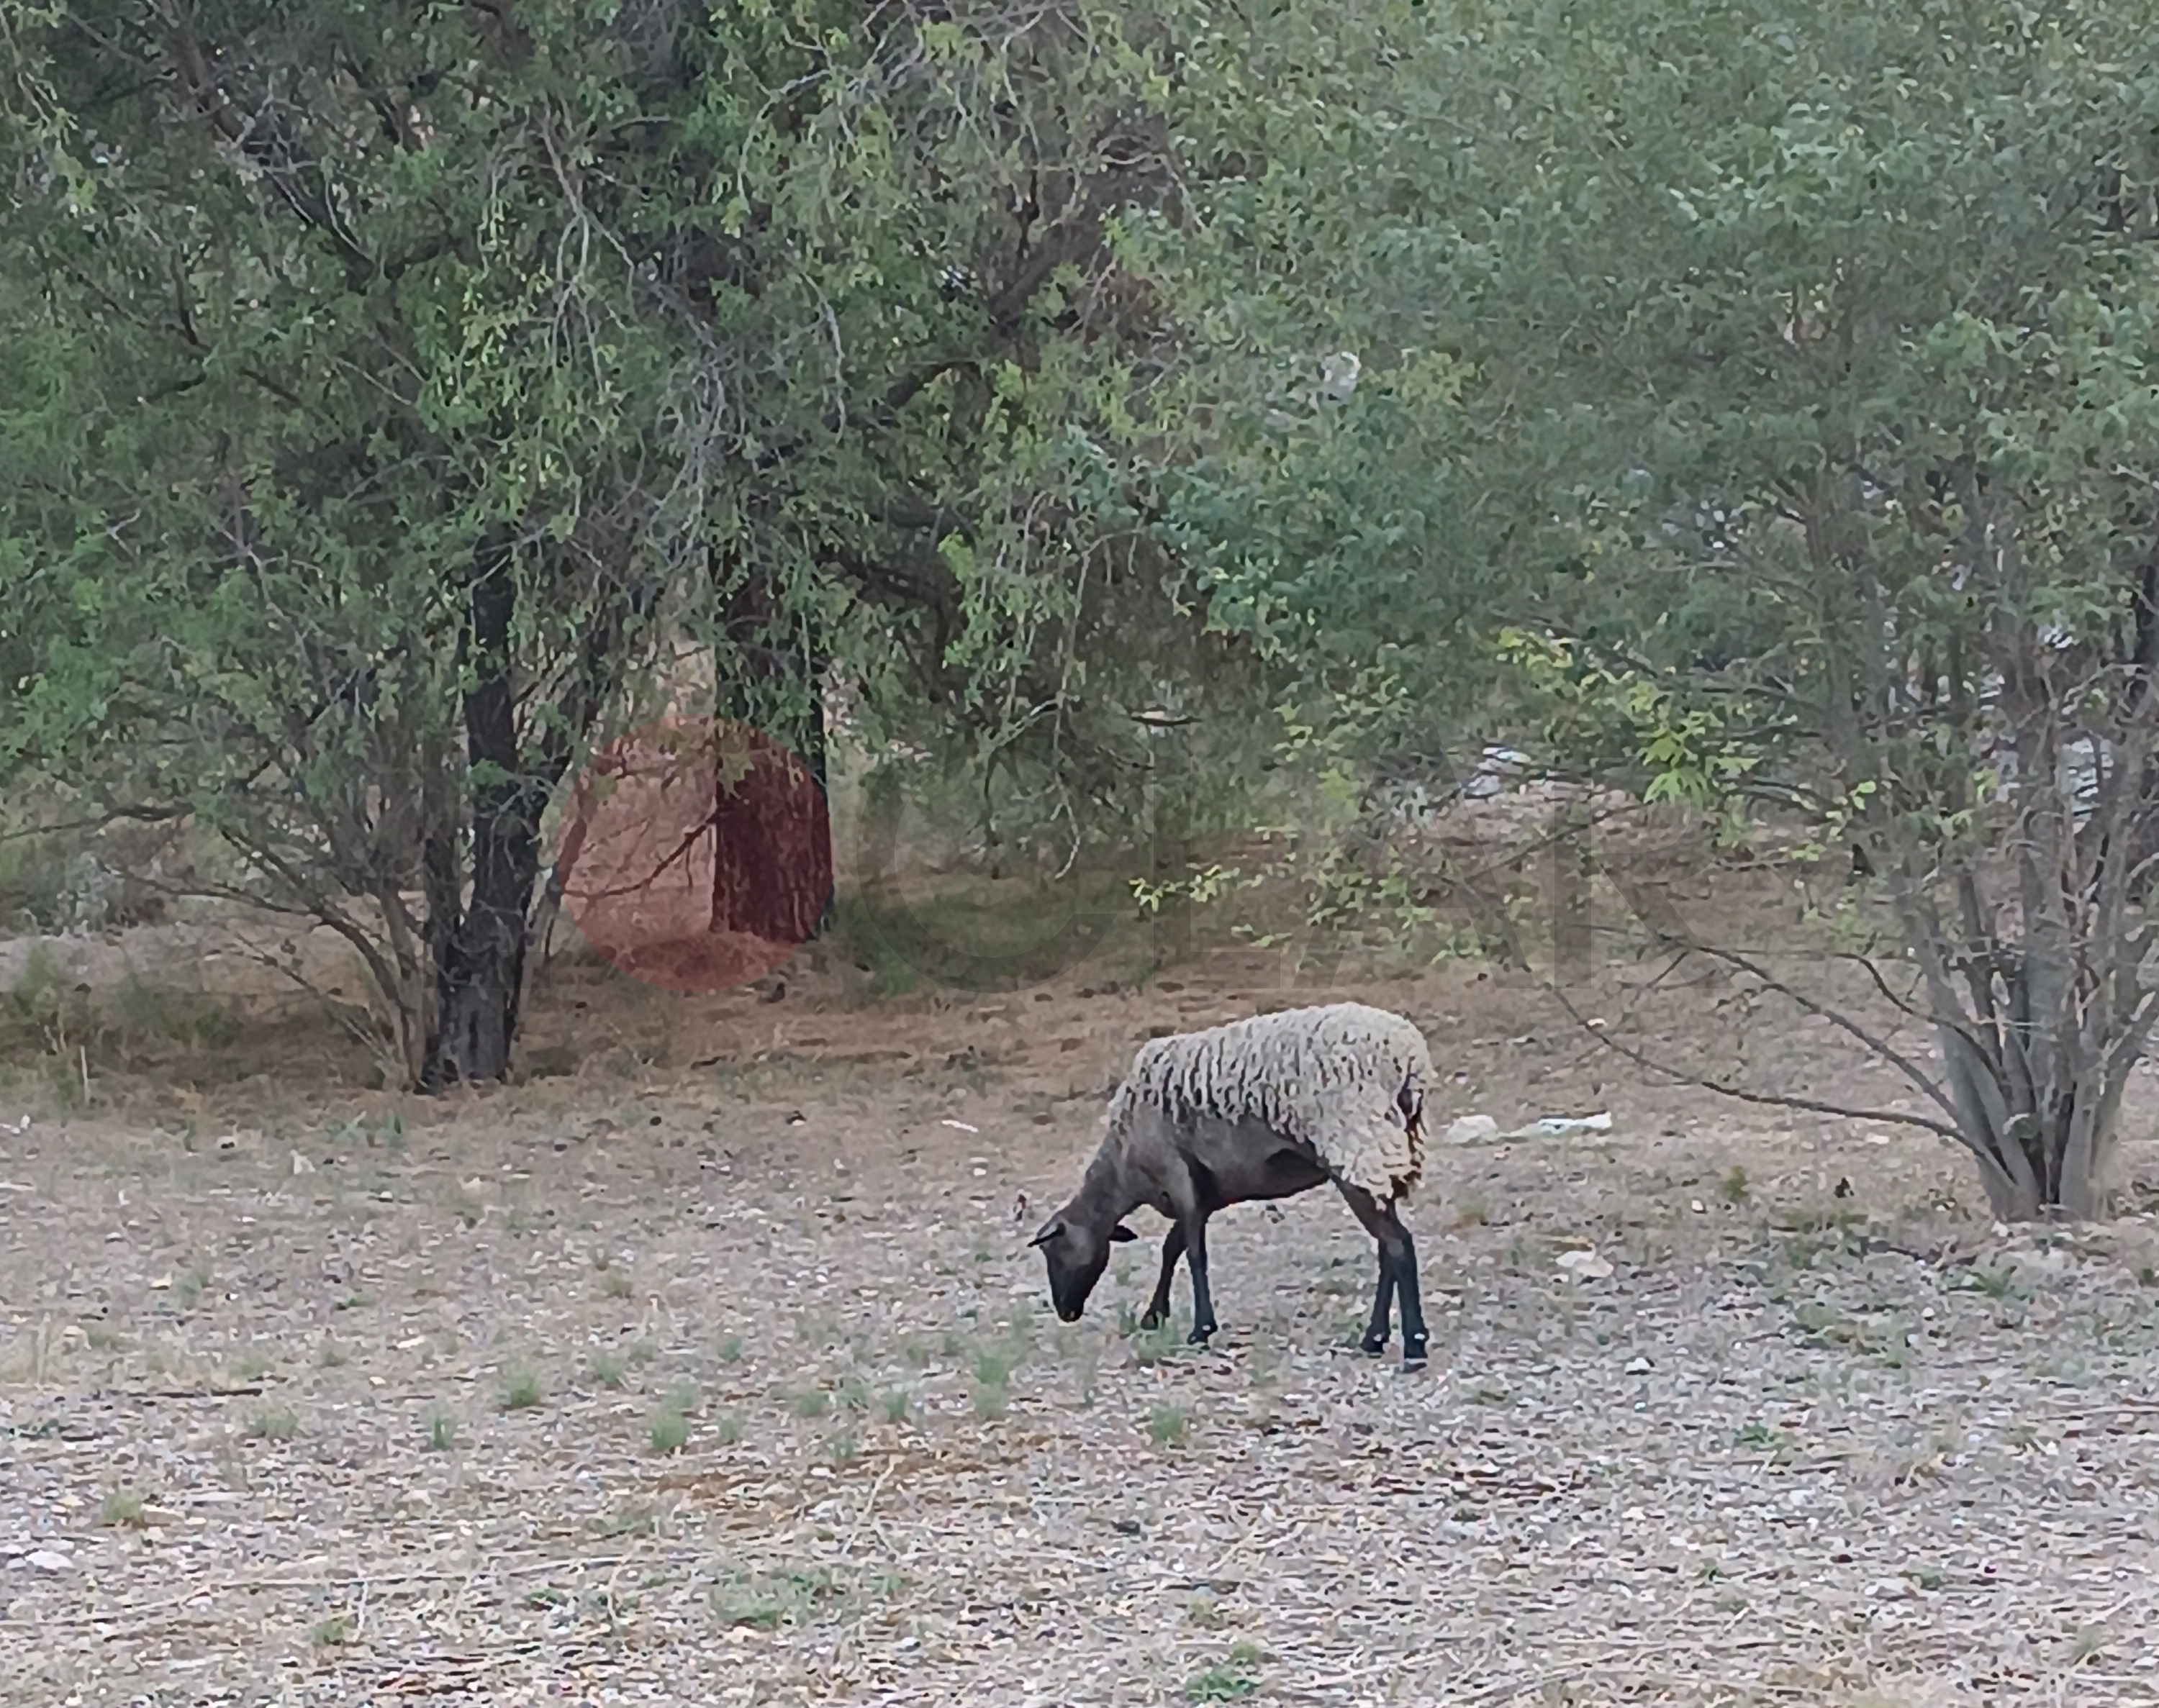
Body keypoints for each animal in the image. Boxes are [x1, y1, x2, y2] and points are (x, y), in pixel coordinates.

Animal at [1028, 1010, 1434, 1373]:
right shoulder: (1203, 1191)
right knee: (1387, 1248)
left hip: (1358, 1146)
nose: (1066, 1313)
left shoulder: (1176, 1174)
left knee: (1398, 1245)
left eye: (1053, 1251)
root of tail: (1409, 1059)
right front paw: (1155, 1315)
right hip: (1380, 1158)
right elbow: (1172, 1248)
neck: (1122, 1164)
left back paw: (1413, 1346)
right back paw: (1374, 1339)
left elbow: (1194, 1254)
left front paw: (1200, 1329)